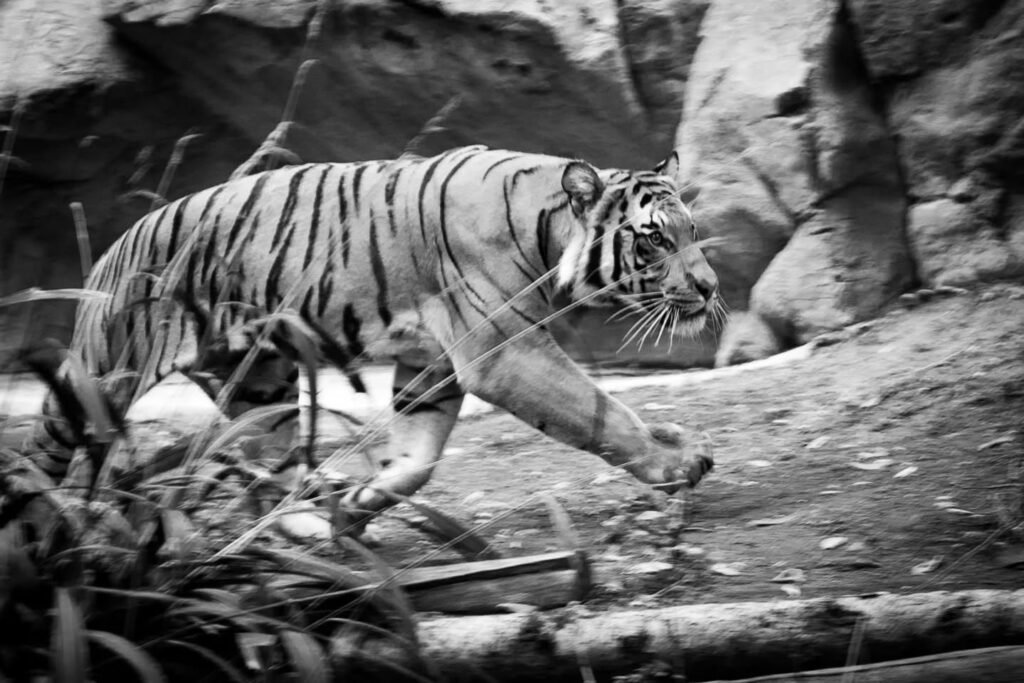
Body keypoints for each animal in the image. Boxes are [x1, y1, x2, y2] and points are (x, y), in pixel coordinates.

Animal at [29, 145, 720, 528]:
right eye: (655, 239)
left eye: (690, 232)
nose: (712, 288)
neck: (547, 233)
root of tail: (115, 245)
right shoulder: (506, 353)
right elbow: (600, 411)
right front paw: (677, 463)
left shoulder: (431, 368)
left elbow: (416, 460)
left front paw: (361, 501)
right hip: (102, 378)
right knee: (47, 451)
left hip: (259, 383)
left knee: (271, 466)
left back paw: (311, 528)